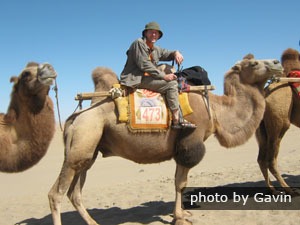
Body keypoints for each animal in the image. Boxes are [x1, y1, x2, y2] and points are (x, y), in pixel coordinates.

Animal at [48, 55, 282, 225]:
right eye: (254, 62)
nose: (277, 62)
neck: (215, 109)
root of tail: (74, 118)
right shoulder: (190, 142)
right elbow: (181, 183)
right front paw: (180, 218)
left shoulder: (182, 148)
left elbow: (180, 182)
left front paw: (182, 214)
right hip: (82, 141)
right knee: (56, 194)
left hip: (89, 151)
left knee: (75, 193)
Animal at [255, 48, 300, 195]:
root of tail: (265, 92)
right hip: (280, 124)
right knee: (270, 160)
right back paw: (289, 190)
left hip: (262, 129)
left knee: (261, 159)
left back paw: (273, 190)